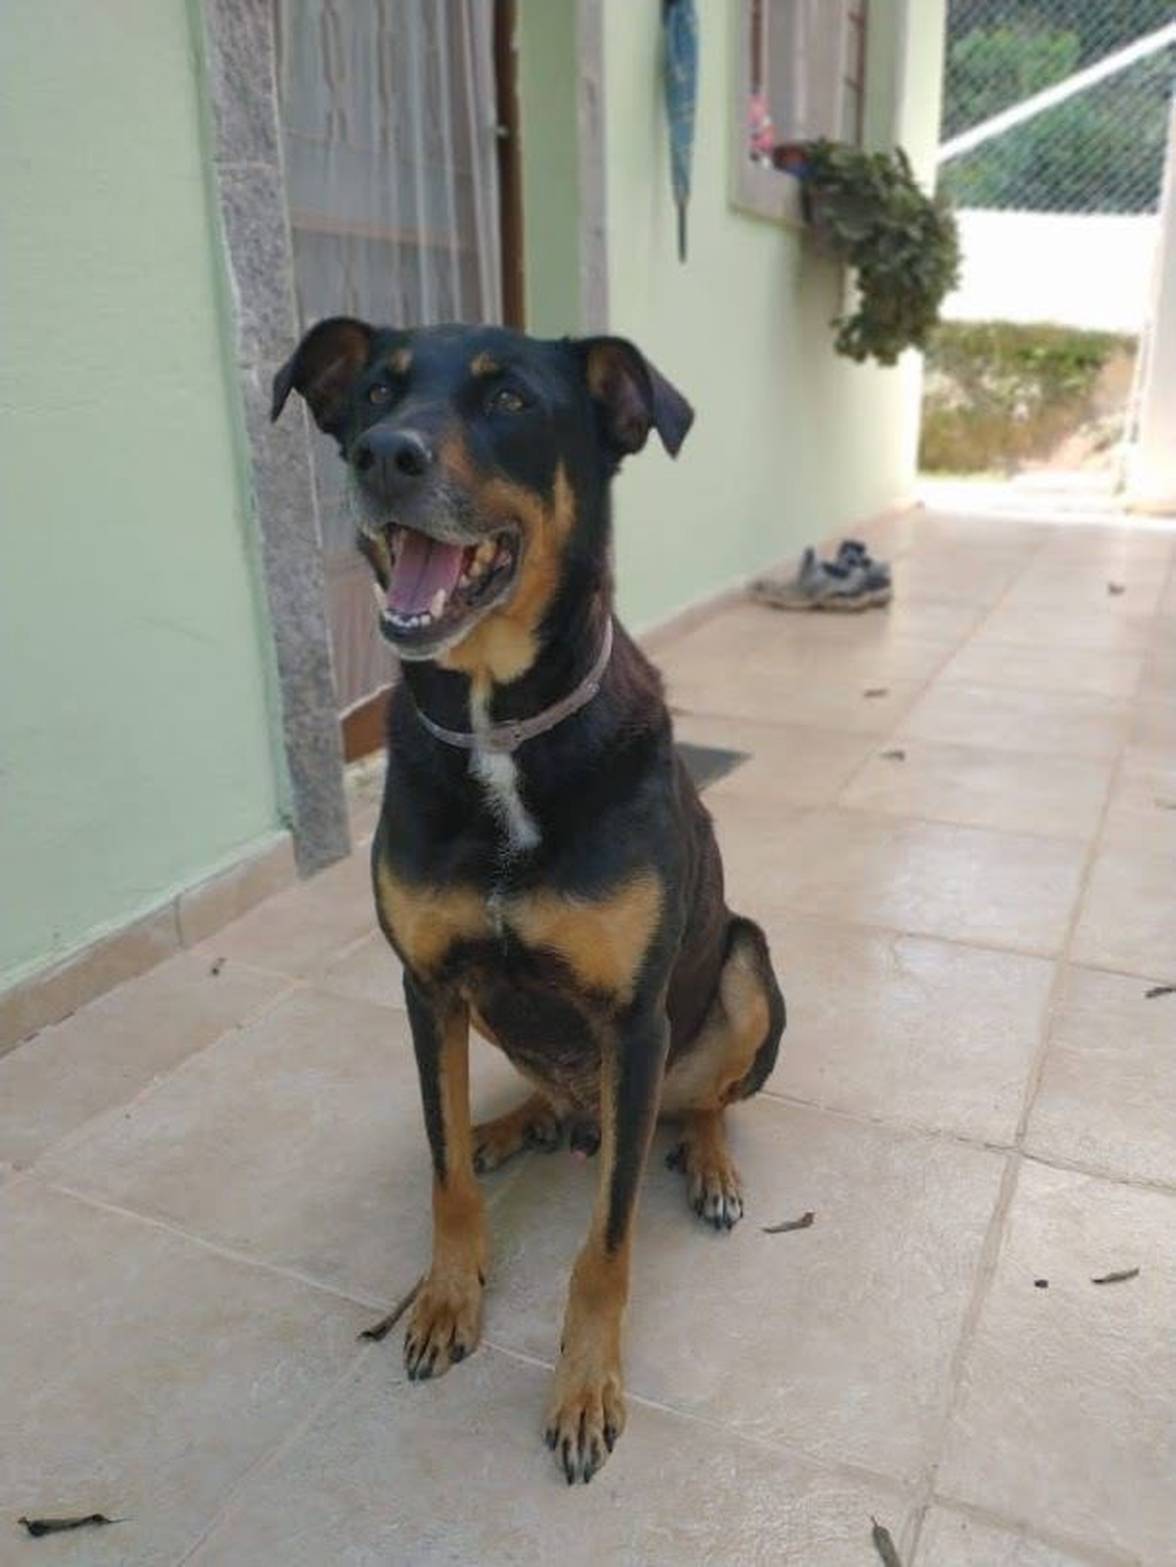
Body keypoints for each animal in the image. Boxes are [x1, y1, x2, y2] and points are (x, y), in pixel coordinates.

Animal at [272, 319, 786, 1484]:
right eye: (375, 392)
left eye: (508, 399)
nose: (382, 456)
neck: (497, 725)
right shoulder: (426, 988)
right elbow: (442, 1172)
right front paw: (445, 1297)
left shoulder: (634, 1020)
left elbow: (606, 1246)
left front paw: (586, 1385)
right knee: (532, 1106)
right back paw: (516, 1125)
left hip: (744, 968)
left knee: (707, 1098)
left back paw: (708, 1161)